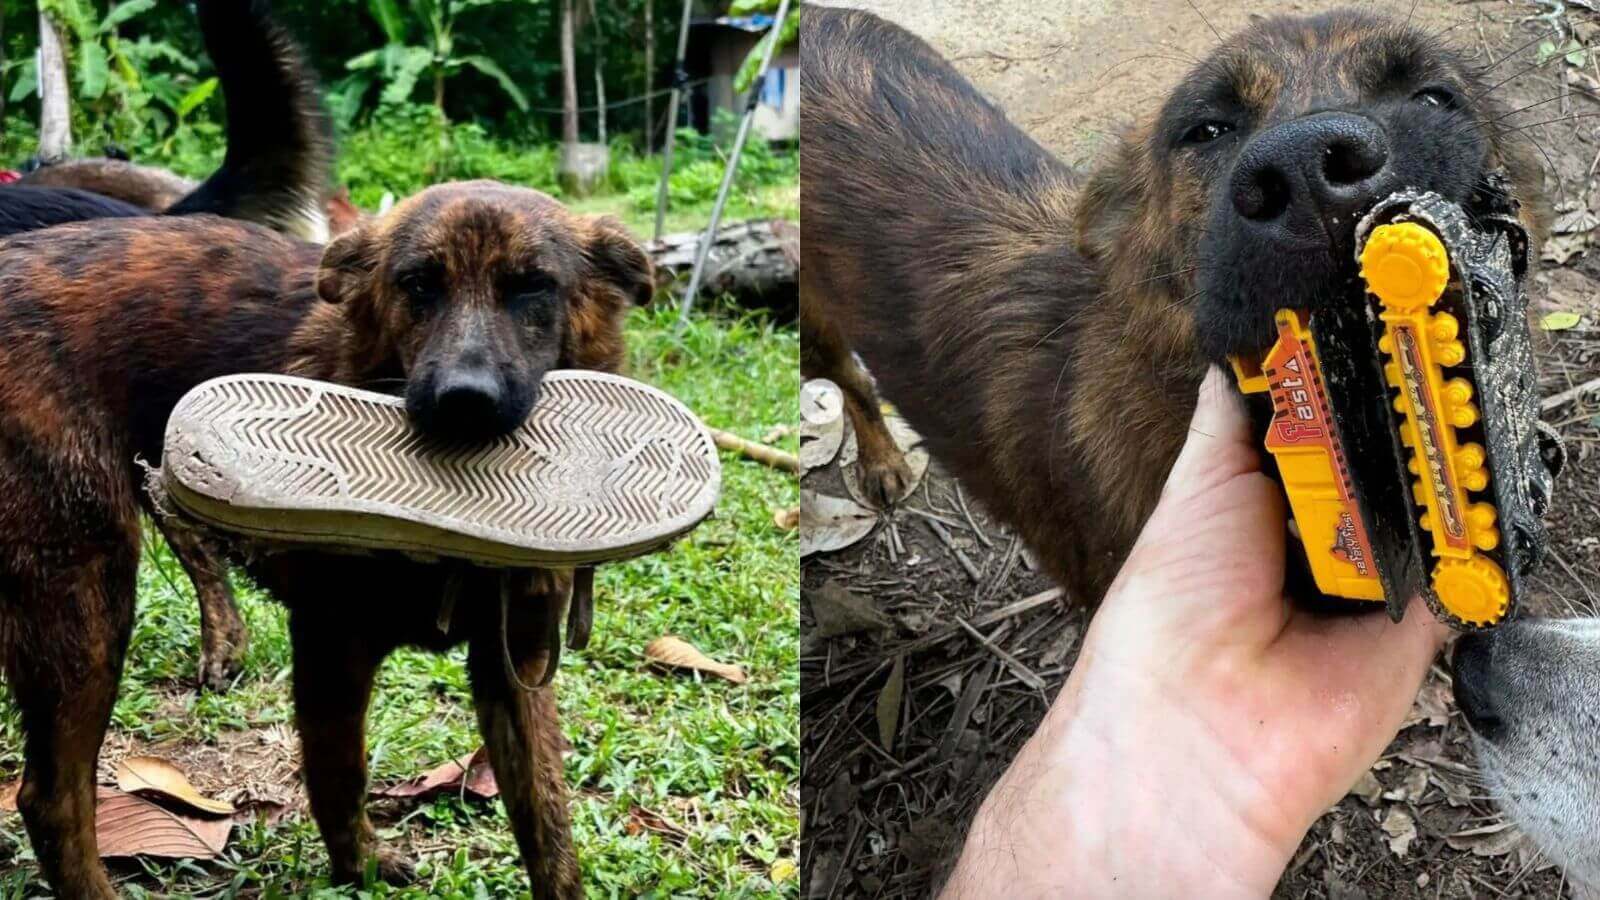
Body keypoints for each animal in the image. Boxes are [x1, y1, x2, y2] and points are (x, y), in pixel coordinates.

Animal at [1, 180, 649, 890]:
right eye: (417, 284)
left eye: (534, 286)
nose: (464, 401)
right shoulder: (330, 641)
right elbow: (341, 771)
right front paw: (357, 866)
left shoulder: (517, 664)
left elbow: (549, 826)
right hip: (87, 592)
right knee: (51, 796)